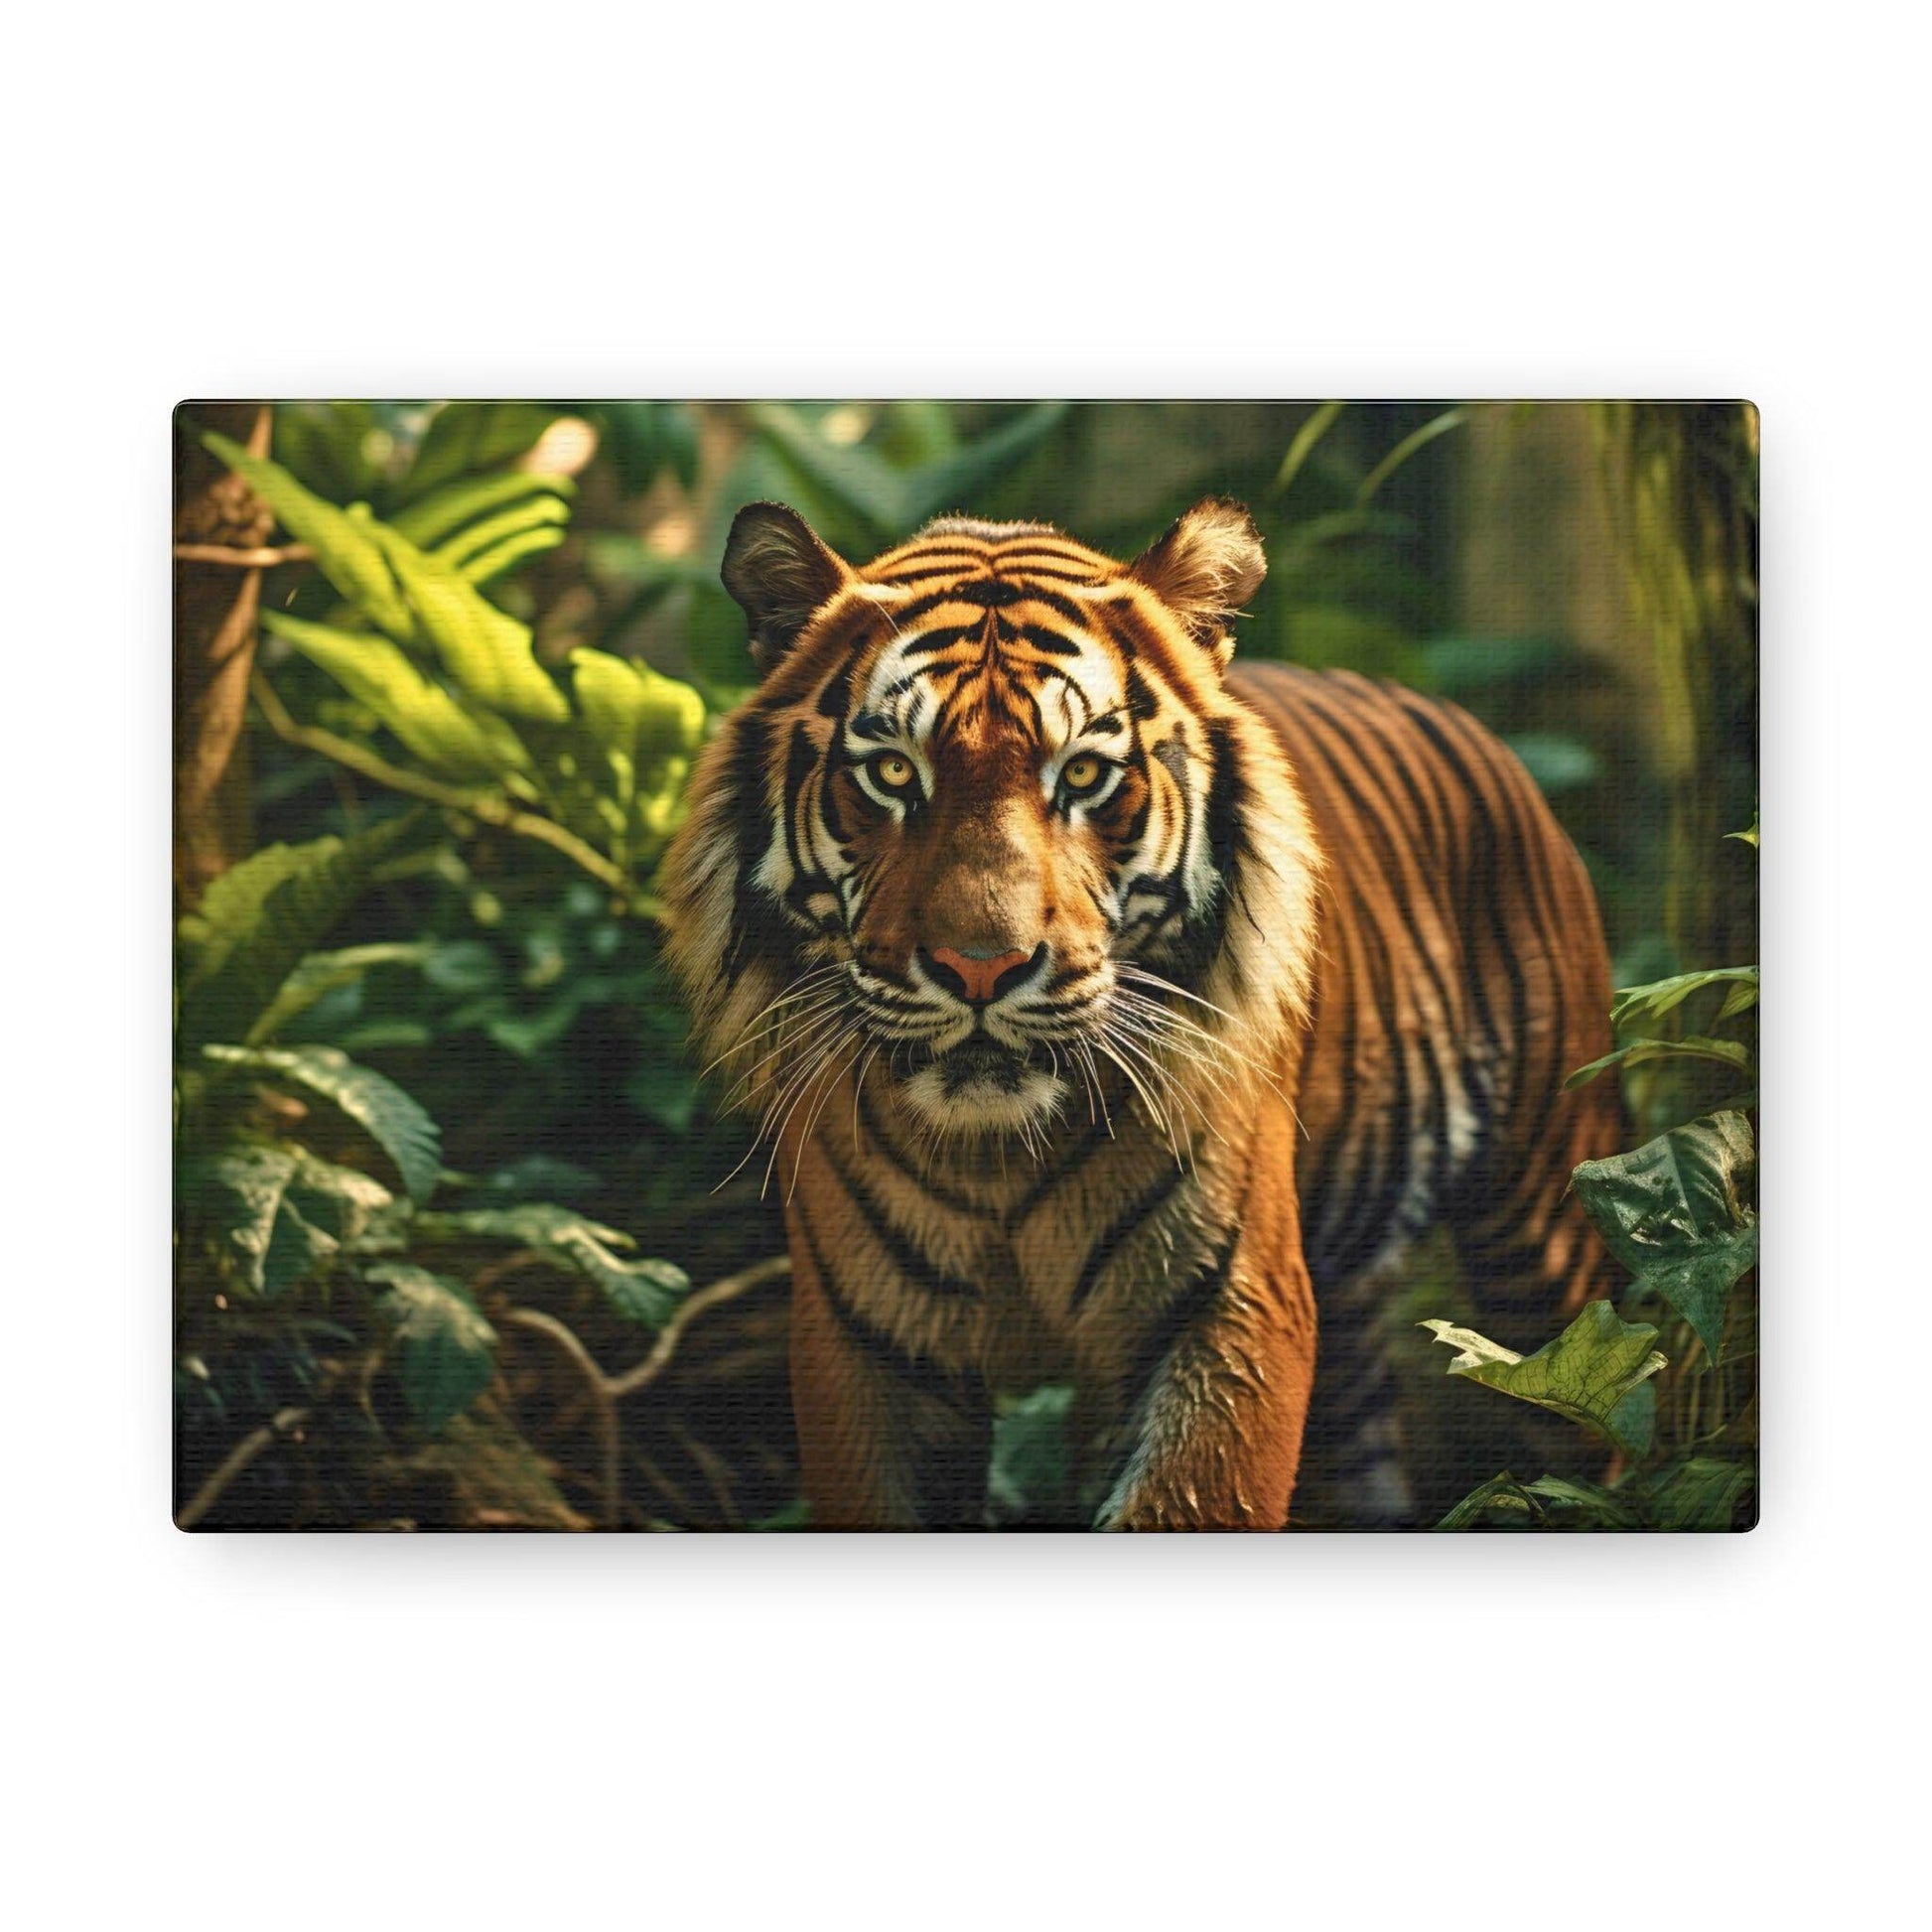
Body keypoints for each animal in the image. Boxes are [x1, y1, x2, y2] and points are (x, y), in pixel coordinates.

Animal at [659, 496, 1623, 1530]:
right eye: (891, 774)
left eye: (1083, 776)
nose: (980, 967)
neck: (998, 1159)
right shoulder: (865, 1345)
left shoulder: (1230, 1308)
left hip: (1549, 1229)